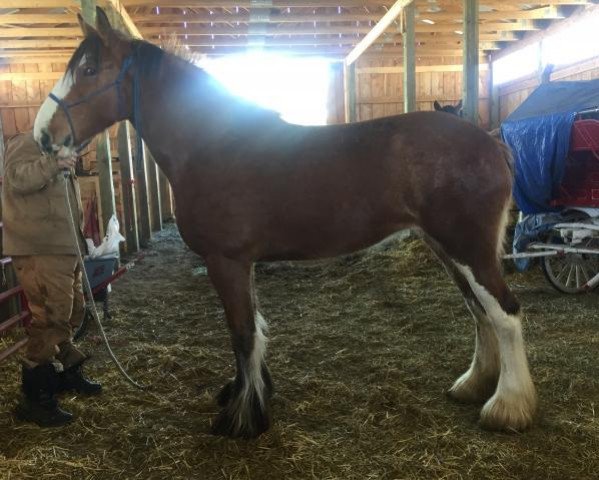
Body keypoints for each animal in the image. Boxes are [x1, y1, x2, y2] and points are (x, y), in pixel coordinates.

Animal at [35, 8, 536, 438]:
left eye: (89, 70)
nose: (43, 135)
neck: (213, 144)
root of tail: (490, 142)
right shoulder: (243, 263)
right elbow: (254, 329)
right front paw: (249, 396)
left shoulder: (226, 261)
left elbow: (241, 332)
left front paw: (242, 418)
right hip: (447, 248)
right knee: (478, 311)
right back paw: (473, 386)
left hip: (466, 248)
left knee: (504, 313)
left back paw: (507, 407)